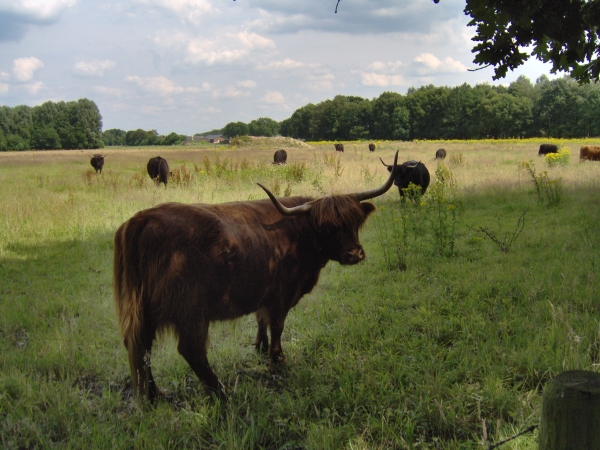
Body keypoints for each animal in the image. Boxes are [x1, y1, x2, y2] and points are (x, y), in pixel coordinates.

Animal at [115, 151, 400, 400]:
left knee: (140, 347)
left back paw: (155, 395)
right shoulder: (282, 294)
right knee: (190, 349)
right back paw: (220, 391)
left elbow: (261, 320)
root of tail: (142, 218)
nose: (354, 254)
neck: (300, 233)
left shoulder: (264, 292)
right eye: (327, 227)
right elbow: (277, 325)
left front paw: (261, 348)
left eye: (354, 221)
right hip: (190, 309)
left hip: (145, 311)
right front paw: (278, 359)